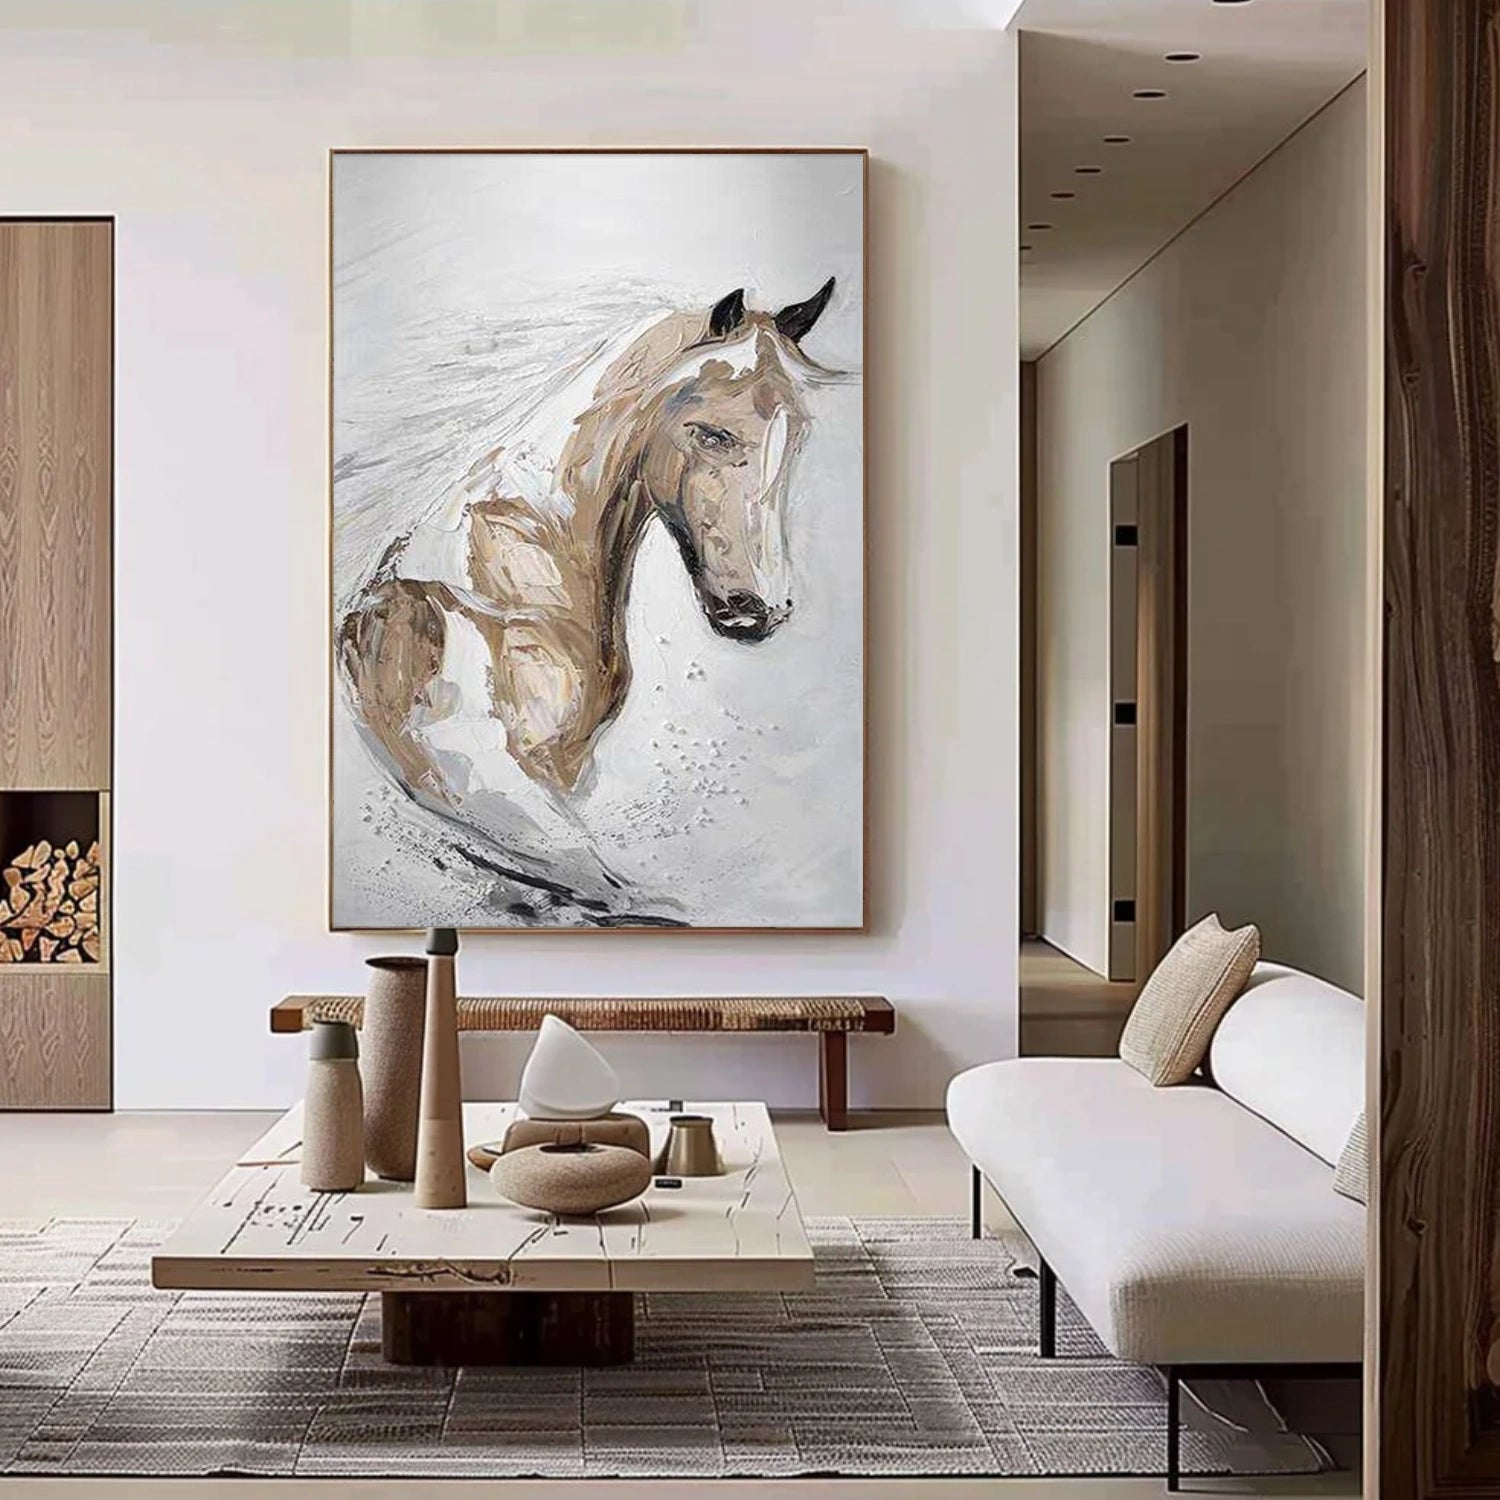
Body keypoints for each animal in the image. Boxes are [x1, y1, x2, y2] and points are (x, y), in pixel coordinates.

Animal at [337, 277, 839, 920]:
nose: (759, 609)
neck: (516, 564)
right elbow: (613, 887)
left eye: (794, 435)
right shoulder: (481, 777)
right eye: (712, 432)